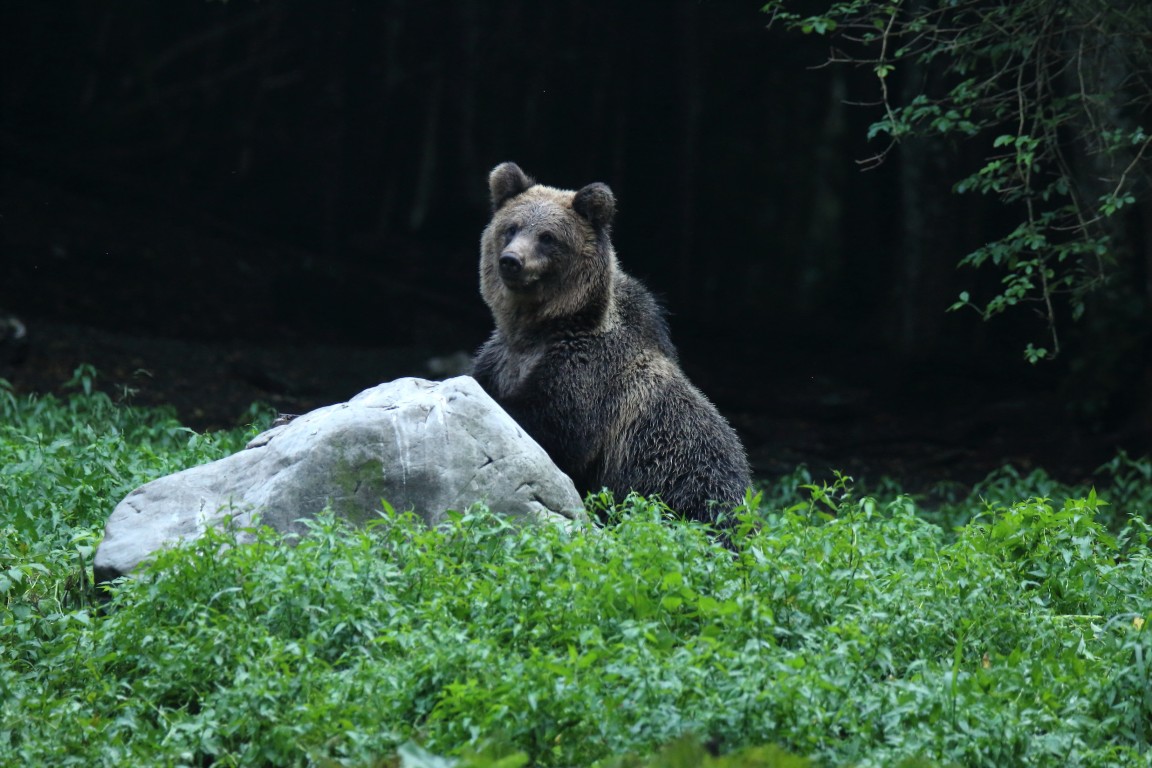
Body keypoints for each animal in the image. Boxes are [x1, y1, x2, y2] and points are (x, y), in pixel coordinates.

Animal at [472, 161, 751, 522]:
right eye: (511, 227)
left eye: (548, 237)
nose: (511, 260)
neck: (536, 330)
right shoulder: (500, 358)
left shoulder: (585, 377)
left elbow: (551, 428)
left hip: (688, 476)